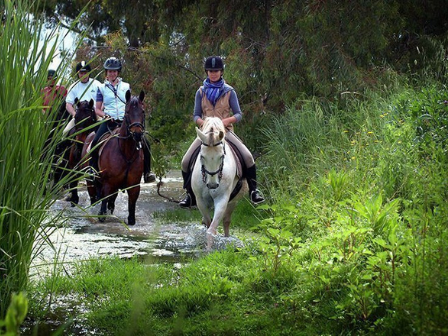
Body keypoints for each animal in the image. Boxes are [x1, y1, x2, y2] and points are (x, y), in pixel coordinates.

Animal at [80, 90, 144, 224]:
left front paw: (130, 218)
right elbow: (104, 199)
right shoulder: (108, 182)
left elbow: (131, 206)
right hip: (90, 181)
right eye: (127, 112)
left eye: (143, 111)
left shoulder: (134, 185)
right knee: (94, 198)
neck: (126, 152)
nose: (137, 134)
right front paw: (101, 215)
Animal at [192, 117, 248, 247]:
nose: (212, 185)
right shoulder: (200, 201)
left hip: (233, 201)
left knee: (226, 221)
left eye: (222, 156)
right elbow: (208, 224)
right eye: (201, 156)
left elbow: (211, 230)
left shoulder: (222, 199)